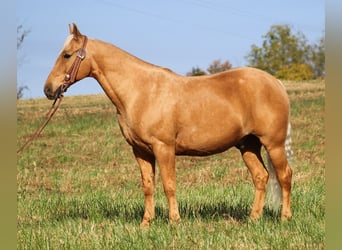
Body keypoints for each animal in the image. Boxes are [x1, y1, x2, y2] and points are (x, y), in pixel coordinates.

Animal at [44, 23, 292, 227]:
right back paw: (253, 219)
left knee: (284, 175)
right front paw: (146, 223)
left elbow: (168, 184)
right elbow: (148, 186)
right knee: (261, 177)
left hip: (274, 144)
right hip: (248, 145)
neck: (141, 91)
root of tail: (275, 82)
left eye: (67, 55)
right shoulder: (141, 151)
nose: (48, 89)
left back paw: (285, 218)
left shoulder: (164, 148)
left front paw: (174, 221)